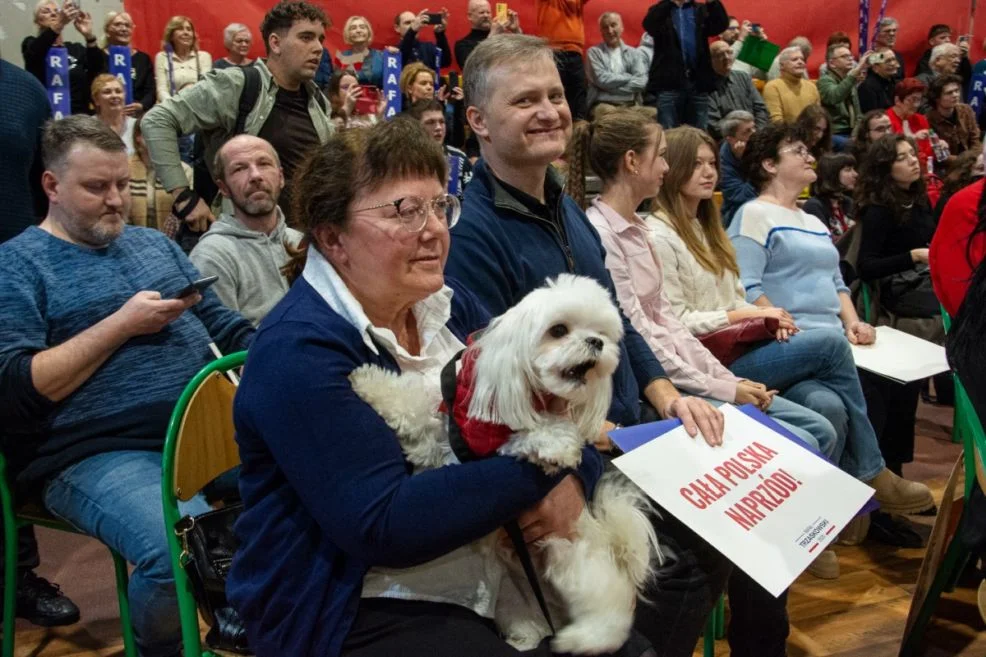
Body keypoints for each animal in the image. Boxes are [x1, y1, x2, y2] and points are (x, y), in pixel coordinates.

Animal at [348, 274, 660, 652]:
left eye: (601, 332)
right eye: (558, 330)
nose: (596, 342)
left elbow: (536, 435)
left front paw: (554, 444)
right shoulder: (441, 440)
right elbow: (415, 407)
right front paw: (369, 382)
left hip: (572, 553)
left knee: (608, 600)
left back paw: (584, 637)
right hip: (517, 593)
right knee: (532, 620)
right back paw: (525, 638)